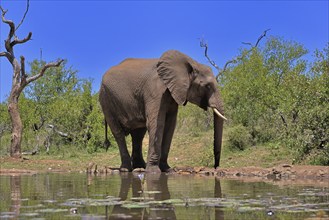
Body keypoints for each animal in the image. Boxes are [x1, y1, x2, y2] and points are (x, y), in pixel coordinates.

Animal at [98, 50, 226, 174]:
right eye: (207, 86)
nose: (216, 167)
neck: (190, 63)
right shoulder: (155, 92)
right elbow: (157, 124)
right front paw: (154, 172)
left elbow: (170, 126)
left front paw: (167, 170)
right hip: (106, 99)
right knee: (118, 133)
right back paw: (126, 169)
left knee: (138, 134)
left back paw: (139, 167)